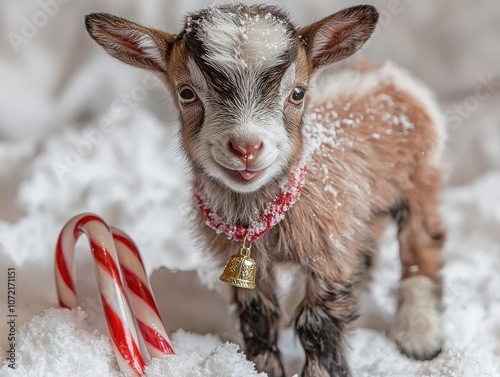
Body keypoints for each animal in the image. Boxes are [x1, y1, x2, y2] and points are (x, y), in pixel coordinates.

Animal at [86, 3, 446, 376]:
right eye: (186, 93)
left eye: (297, 93)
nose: (246, 148)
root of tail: (390, 77)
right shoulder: (250, 263)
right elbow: (257, 317)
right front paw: (258, 368)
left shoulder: (329, 254)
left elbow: (316, 324)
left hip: (421, 179)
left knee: (422, 248)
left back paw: (419, 335)